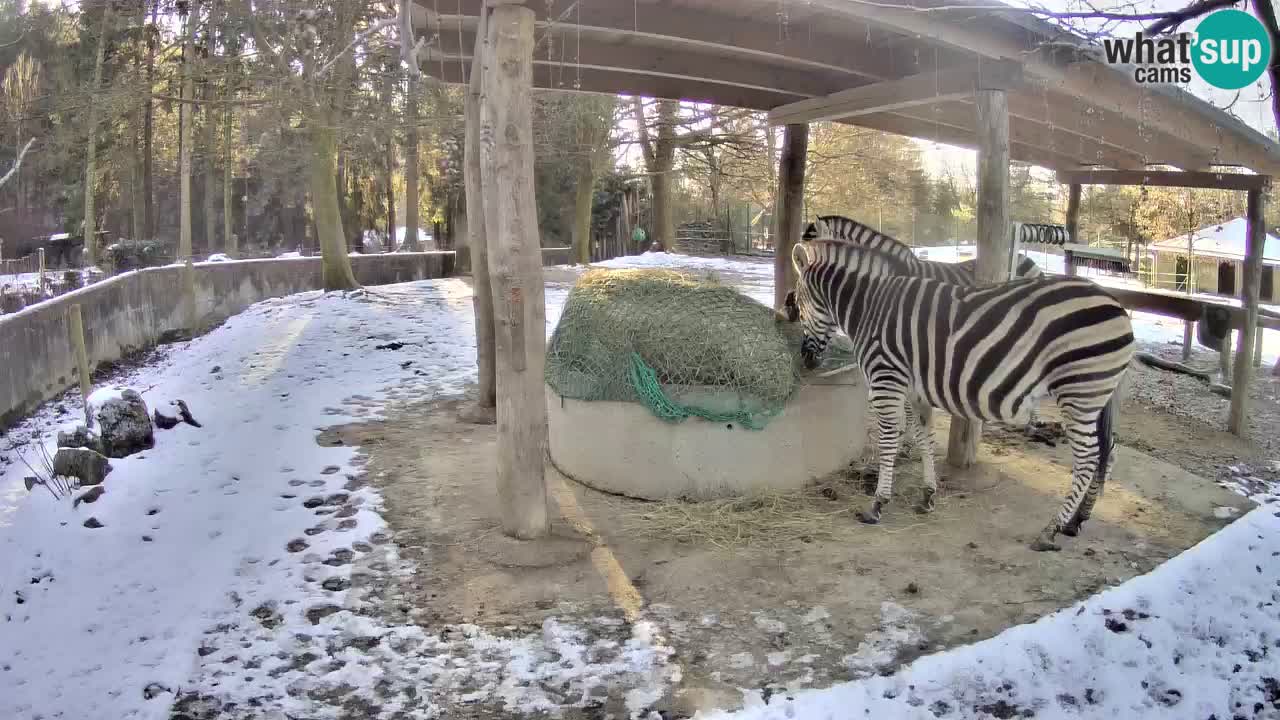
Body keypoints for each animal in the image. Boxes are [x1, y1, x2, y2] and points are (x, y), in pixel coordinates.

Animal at [783, 229, 1136, 548]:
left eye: (797, 302)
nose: (806, 360)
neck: (870, 305)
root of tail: (1116, 304)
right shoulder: (913, 390)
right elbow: (924, 437)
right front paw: (927, 495)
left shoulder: (887, 380)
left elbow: (888, 441)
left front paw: (877, 504)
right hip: (1095, 397)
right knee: (1108, 452)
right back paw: (1077, 521)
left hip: (1079, 392)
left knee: (1088, 459)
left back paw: (1051, 530)